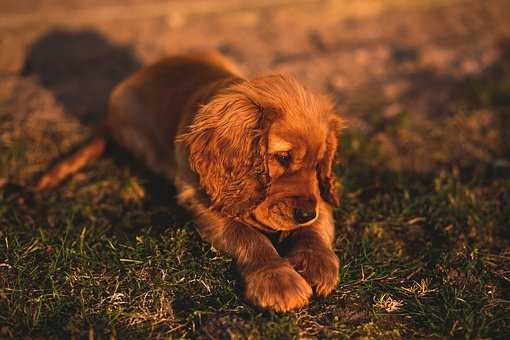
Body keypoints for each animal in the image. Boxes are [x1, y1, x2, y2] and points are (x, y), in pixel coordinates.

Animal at [37, 50, 344, 310]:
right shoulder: (202, 203)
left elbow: (316, 225)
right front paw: (277, 279)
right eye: (282, 157)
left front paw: (316, 262)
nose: (305, 213)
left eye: (319, 164)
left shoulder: (319, 198)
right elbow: (249, 236)